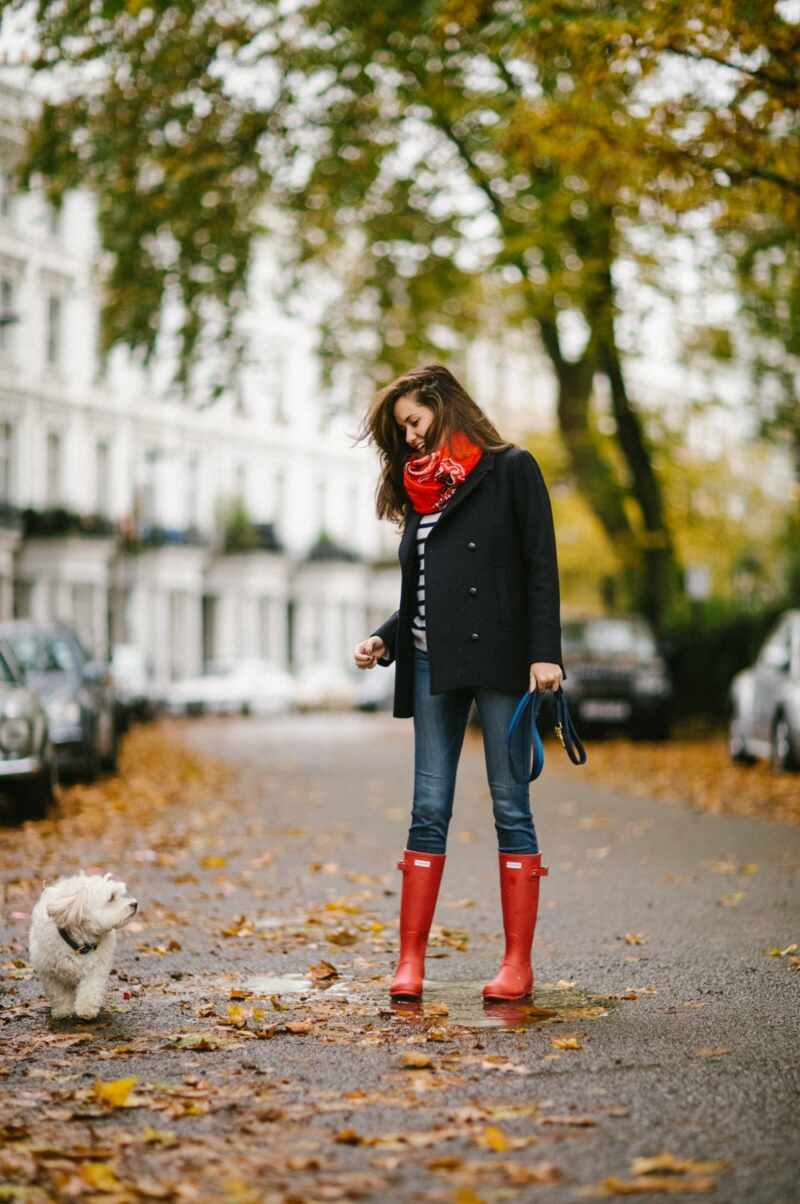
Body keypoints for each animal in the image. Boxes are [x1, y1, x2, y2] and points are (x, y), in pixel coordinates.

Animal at [27, 871, 137, 1020]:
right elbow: (58, 993)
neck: (79, 945)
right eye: (111, 898)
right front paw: (63, 1011)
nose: (135, 904)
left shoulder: (96, 968)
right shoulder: (49, 972)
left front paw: (86, 1009)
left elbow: (90, 987)